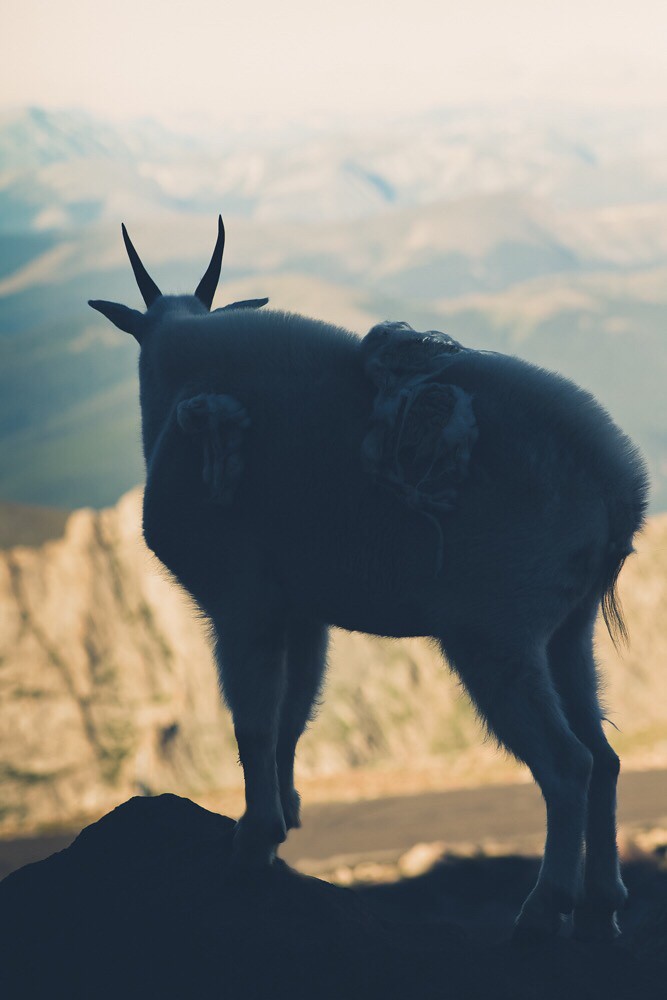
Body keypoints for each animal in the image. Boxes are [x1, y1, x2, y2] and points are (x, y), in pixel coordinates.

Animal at [89, 216, 648, 943]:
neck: (182, 370)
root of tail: (617, 489)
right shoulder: (302, 613)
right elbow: (293, 715)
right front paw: (283, 824)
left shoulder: (241, 602)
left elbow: (253, 723)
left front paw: (251, 847)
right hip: (567, 634)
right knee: (604, 757)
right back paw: (601, 910)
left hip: (495, 635)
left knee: (567, 765)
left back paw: (540, 910)